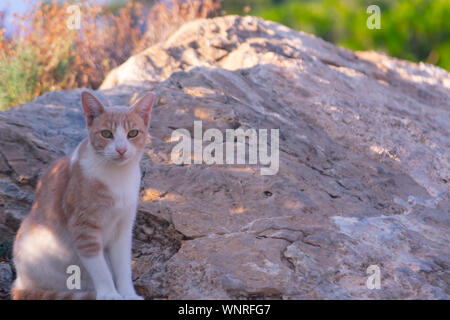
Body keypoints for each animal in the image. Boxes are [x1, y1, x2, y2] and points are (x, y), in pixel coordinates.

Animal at [11, 90, 156, 300]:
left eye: (133, 133)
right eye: (106, 134)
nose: (121, 149)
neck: (118, 178)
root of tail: (20, 282)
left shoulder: (123, 228)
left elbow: (123, 266)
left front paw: (128, 293)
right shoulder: (83, 228)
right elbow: (101, 269)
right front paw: (110, 294)